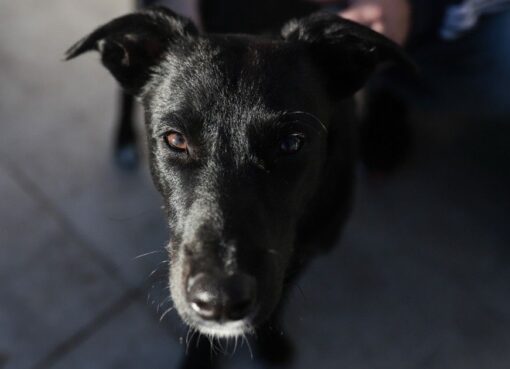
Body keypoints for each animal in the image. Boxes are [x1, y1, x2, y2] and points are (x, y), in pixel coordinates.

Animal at [65, 6, 408, 368]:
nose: (220, 300)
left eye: (290, 144)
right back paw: (123, 142)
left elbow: (280, 294)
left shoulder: (304, 249)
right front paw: (200, 359)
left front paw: (269, 340)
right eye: (176, 140)